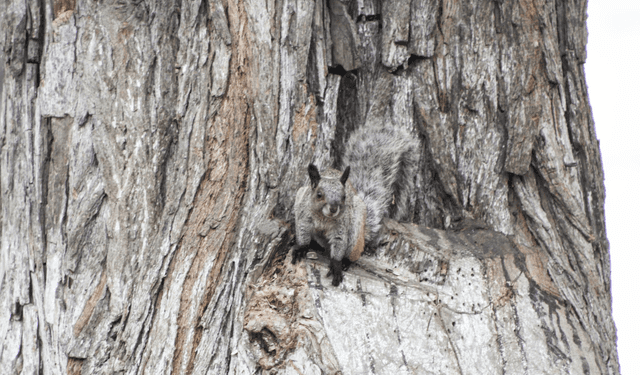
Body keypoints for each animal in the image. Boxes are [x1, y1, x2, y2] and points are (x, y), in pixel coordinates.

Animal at [292, 125, 420, 286]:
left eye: (344, 196)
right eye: (319, 194)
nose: (333, 209)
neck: (324, 218)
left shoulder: (341, 227)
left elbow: (339, 244)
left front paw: (336, 266)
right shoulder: (304, 216)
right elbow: (303, 232)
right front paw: (301, 249)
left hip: (355, 231)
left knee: (353, 252)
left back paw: (346, 262)